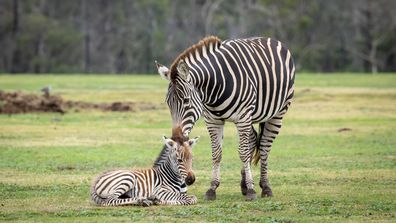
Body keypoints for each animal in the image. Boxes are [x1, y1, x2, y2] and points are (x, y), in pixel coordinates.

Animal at [156, 35, 296, 200]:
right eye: (168, 103)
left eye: (186, 100)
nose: (176, 138)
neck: (214, 88)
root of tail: (271, 39)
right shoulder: (213, 120)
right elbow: (216, 154)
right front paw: (212, 188)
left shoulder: (243, 117)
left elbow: (242, 152)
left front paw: (251, 190)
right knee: (252, 140)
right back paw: (244, 184)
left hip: (277, 113)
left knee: (264, 147)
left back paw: (265, 187)